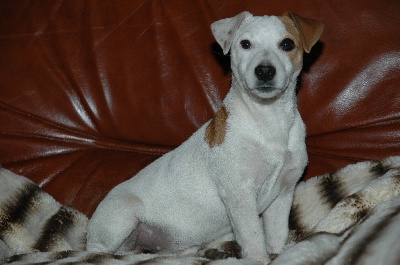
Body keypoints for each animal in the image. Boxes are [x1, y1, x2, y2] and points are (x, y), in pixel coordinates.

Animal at [87, 11, 324, 262]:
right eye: (245, 44)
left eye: (287, 44)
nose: (265, 71)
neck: (268, 119)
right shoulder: (240, 194)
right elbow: (253, 237)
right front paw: (259, 259)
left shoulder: (283, 194)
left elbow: (277, 235)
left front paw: (278, 254)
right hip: (123, 215)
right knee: (98, 252)